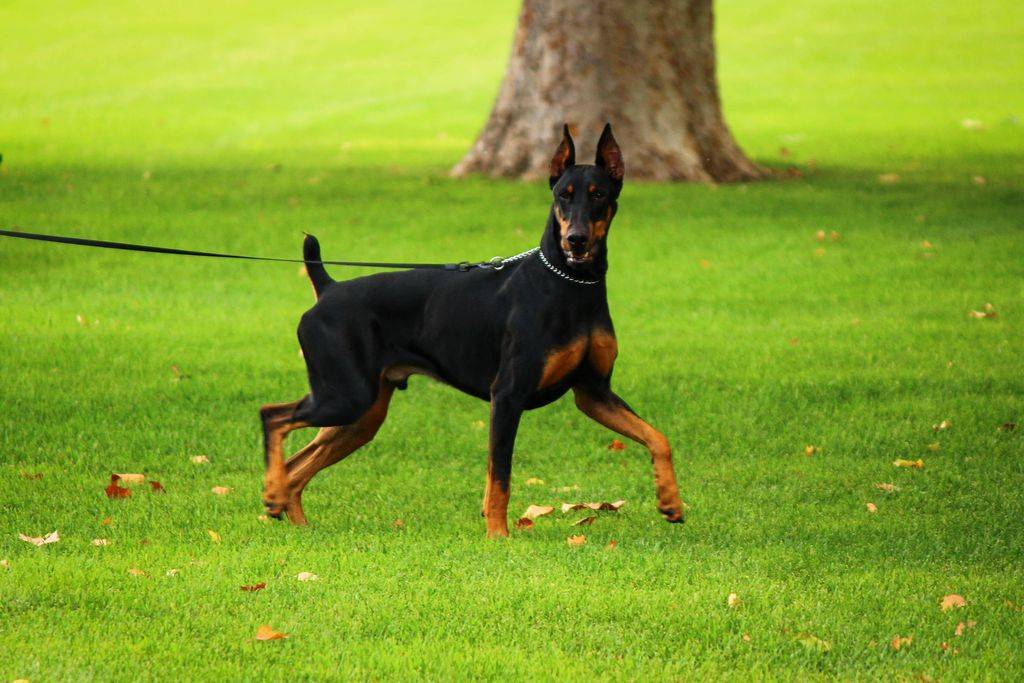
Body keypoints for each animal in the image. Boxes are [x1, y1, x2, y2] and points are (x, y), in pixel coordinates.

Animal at [260, 125, 684, 536]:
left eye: (599, 196)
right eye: (563, 196)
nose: (575, 240)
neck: (571, 283)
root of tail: (328, 287)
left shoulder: (594, 392)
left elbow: (658, 438)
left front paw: (670, 502)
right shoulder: (508, 395)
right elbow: (501, 476)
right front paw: (498, 536)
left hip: (361, 413)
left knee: (297, 464)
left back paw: (289, 513)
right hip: (345, 395)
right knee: (273, 417)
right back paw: (273, 495)